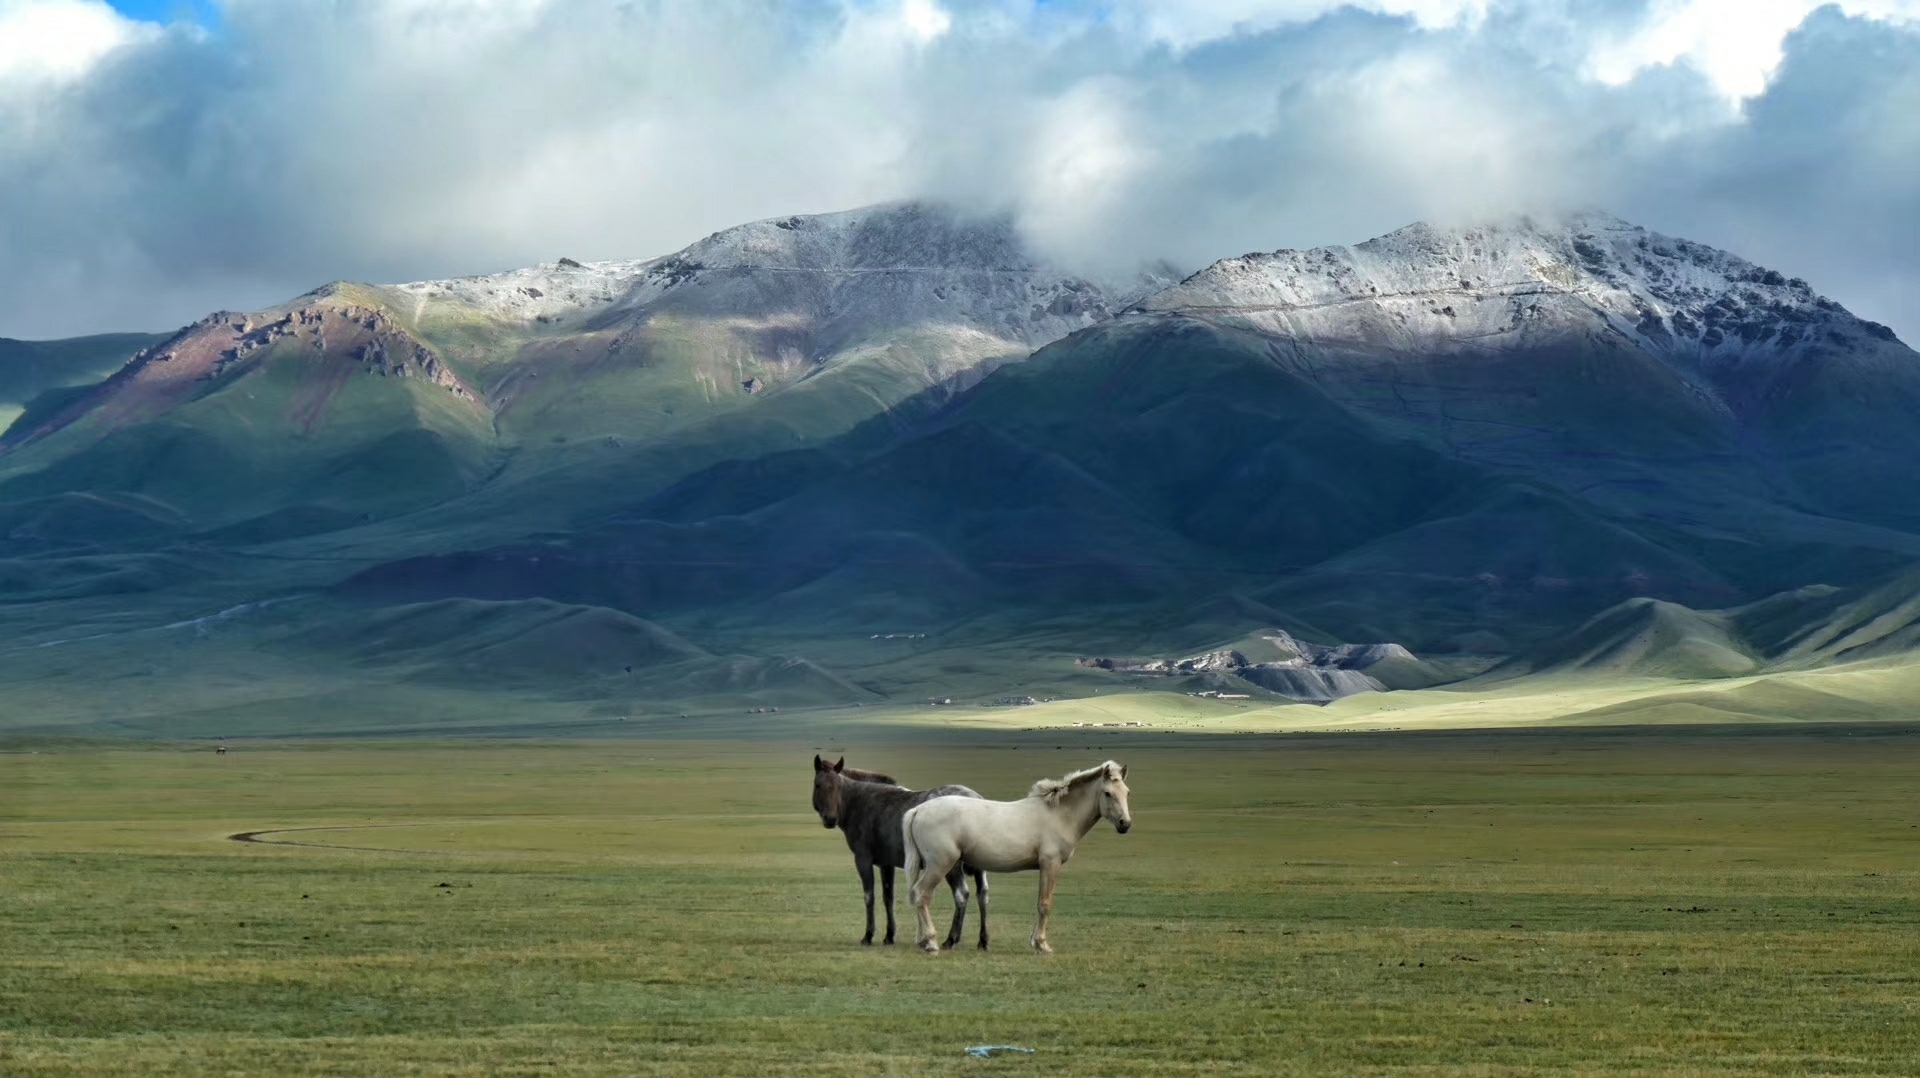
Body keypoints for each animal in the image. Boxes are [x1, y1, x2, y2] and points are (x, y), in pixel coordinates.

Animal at [810, 753, 990, 945]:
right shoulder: (886, 864)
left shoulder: (862, 859)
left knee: (961, 894)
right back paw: (982, 940)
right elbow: (888, 897)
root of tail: (977, 798)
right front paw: (889, 935)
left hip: (951, 866)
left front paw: (868, 935)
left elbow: (869, 896)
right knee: (982, 895)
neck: (859, 802)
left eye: (837, 786)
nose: (830, 819)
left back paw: (951, 939)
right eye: (818, 785)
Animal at [902, 757, 1128, 949]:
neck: (1058, 814)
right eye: (1108, 793)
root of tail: (918, 810)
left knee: (917, 894)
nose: (1125, 824)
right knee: (922, 894)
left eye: (1126, 792)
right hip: (940, 864)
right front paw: (1041, 944)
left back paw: (923, 940)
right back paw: (930, 942)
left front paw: (1035, 941)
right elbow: (1044, 904)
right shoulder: (1050, 864)